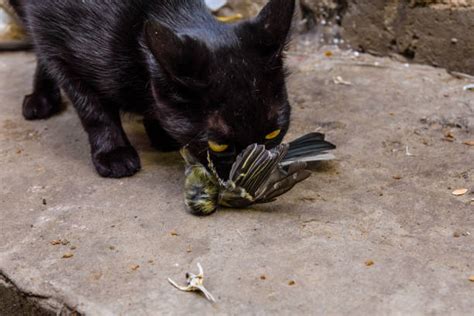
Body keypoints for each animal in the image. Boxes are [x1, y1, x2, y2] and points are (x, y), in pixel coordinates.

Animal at [9, 0, 294, 178]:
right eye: (219, 146)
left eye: (273, 133)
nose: (257, 171)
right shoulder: (57, 48)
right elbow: (93, 110)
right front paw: (113, 152)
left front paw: (160, 133)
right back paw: (41, 98)